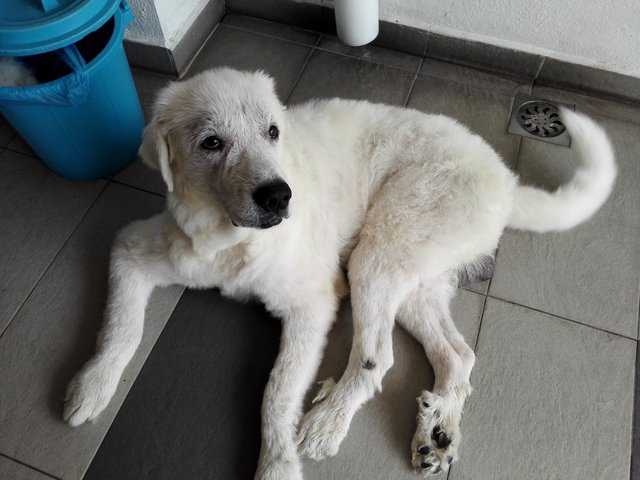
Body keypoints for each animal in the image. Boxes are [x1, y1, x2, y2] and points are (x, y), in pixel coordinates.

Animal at [63, 67, 616, 480]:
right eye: (211, 142)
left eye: (272, 131)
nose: (278, 196)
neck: (228, 238)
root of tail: (506, 180)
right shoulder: (131, 248)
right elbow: (121, 328)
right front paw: (91, 386)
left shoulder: (314, 302)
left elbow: (276, 392)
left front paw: (278, 463)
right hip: (416, 277)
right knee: (457, 355)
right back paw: (437, 432)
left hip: (377, 253)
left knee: (378, 357)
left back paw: (329, 421)